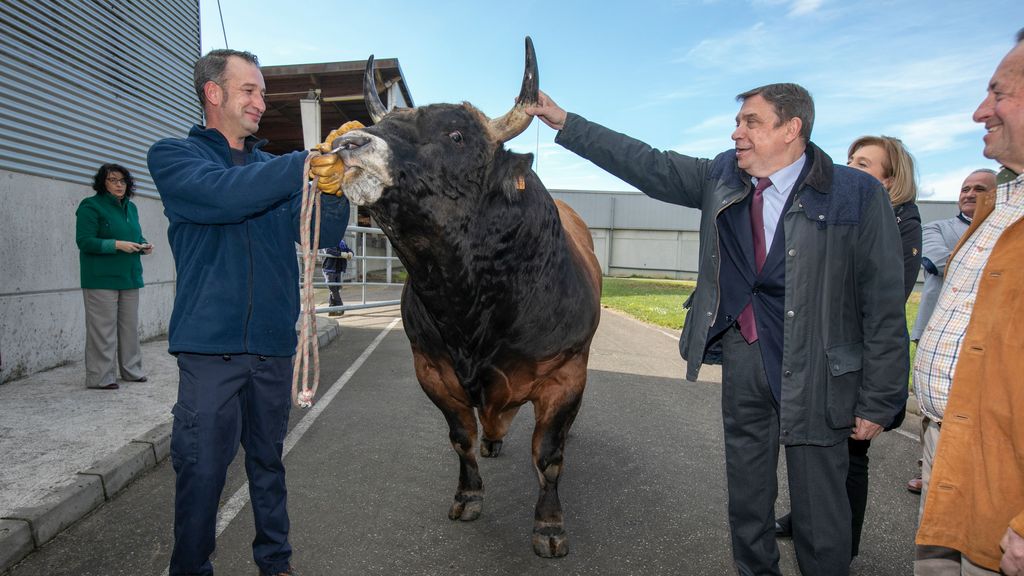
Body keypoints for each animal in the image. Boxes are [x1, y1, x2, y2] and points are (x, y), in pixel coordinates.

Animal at [327, 36, 598, 557]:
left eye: (456, 135)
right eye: (383, 122)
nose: (349, 144)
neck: (470, 306)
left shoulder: (565, 373)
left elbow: (548, 454)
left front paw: (549, 525)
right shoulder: (432, 370)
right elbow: (460, 437)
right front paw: (468, 496)